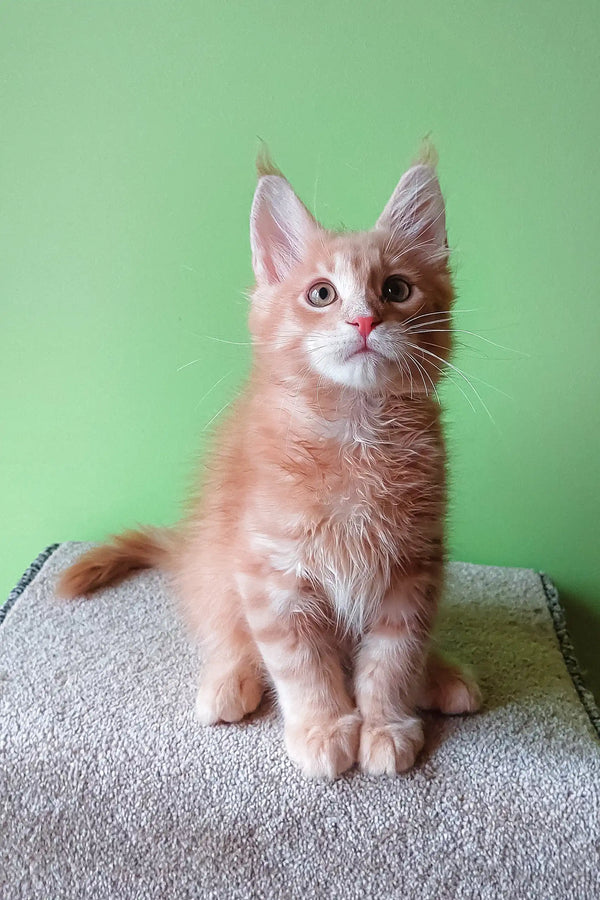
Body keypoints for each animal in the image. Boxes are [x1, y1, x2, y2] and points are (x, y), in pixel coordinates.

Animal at [58, 149, 480, 780]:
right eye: (322, 294)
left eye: (397, 289)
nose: (364, 321)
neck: (356, 435)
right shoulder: (273, 574)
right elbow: (301, 664)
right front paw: (324, 729)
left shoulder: (412, 570)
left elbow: (392, 659)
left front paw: (385, 724)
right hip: (215, 565)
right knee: (224, 633)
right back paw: (228, 681)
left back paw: (440, 676)